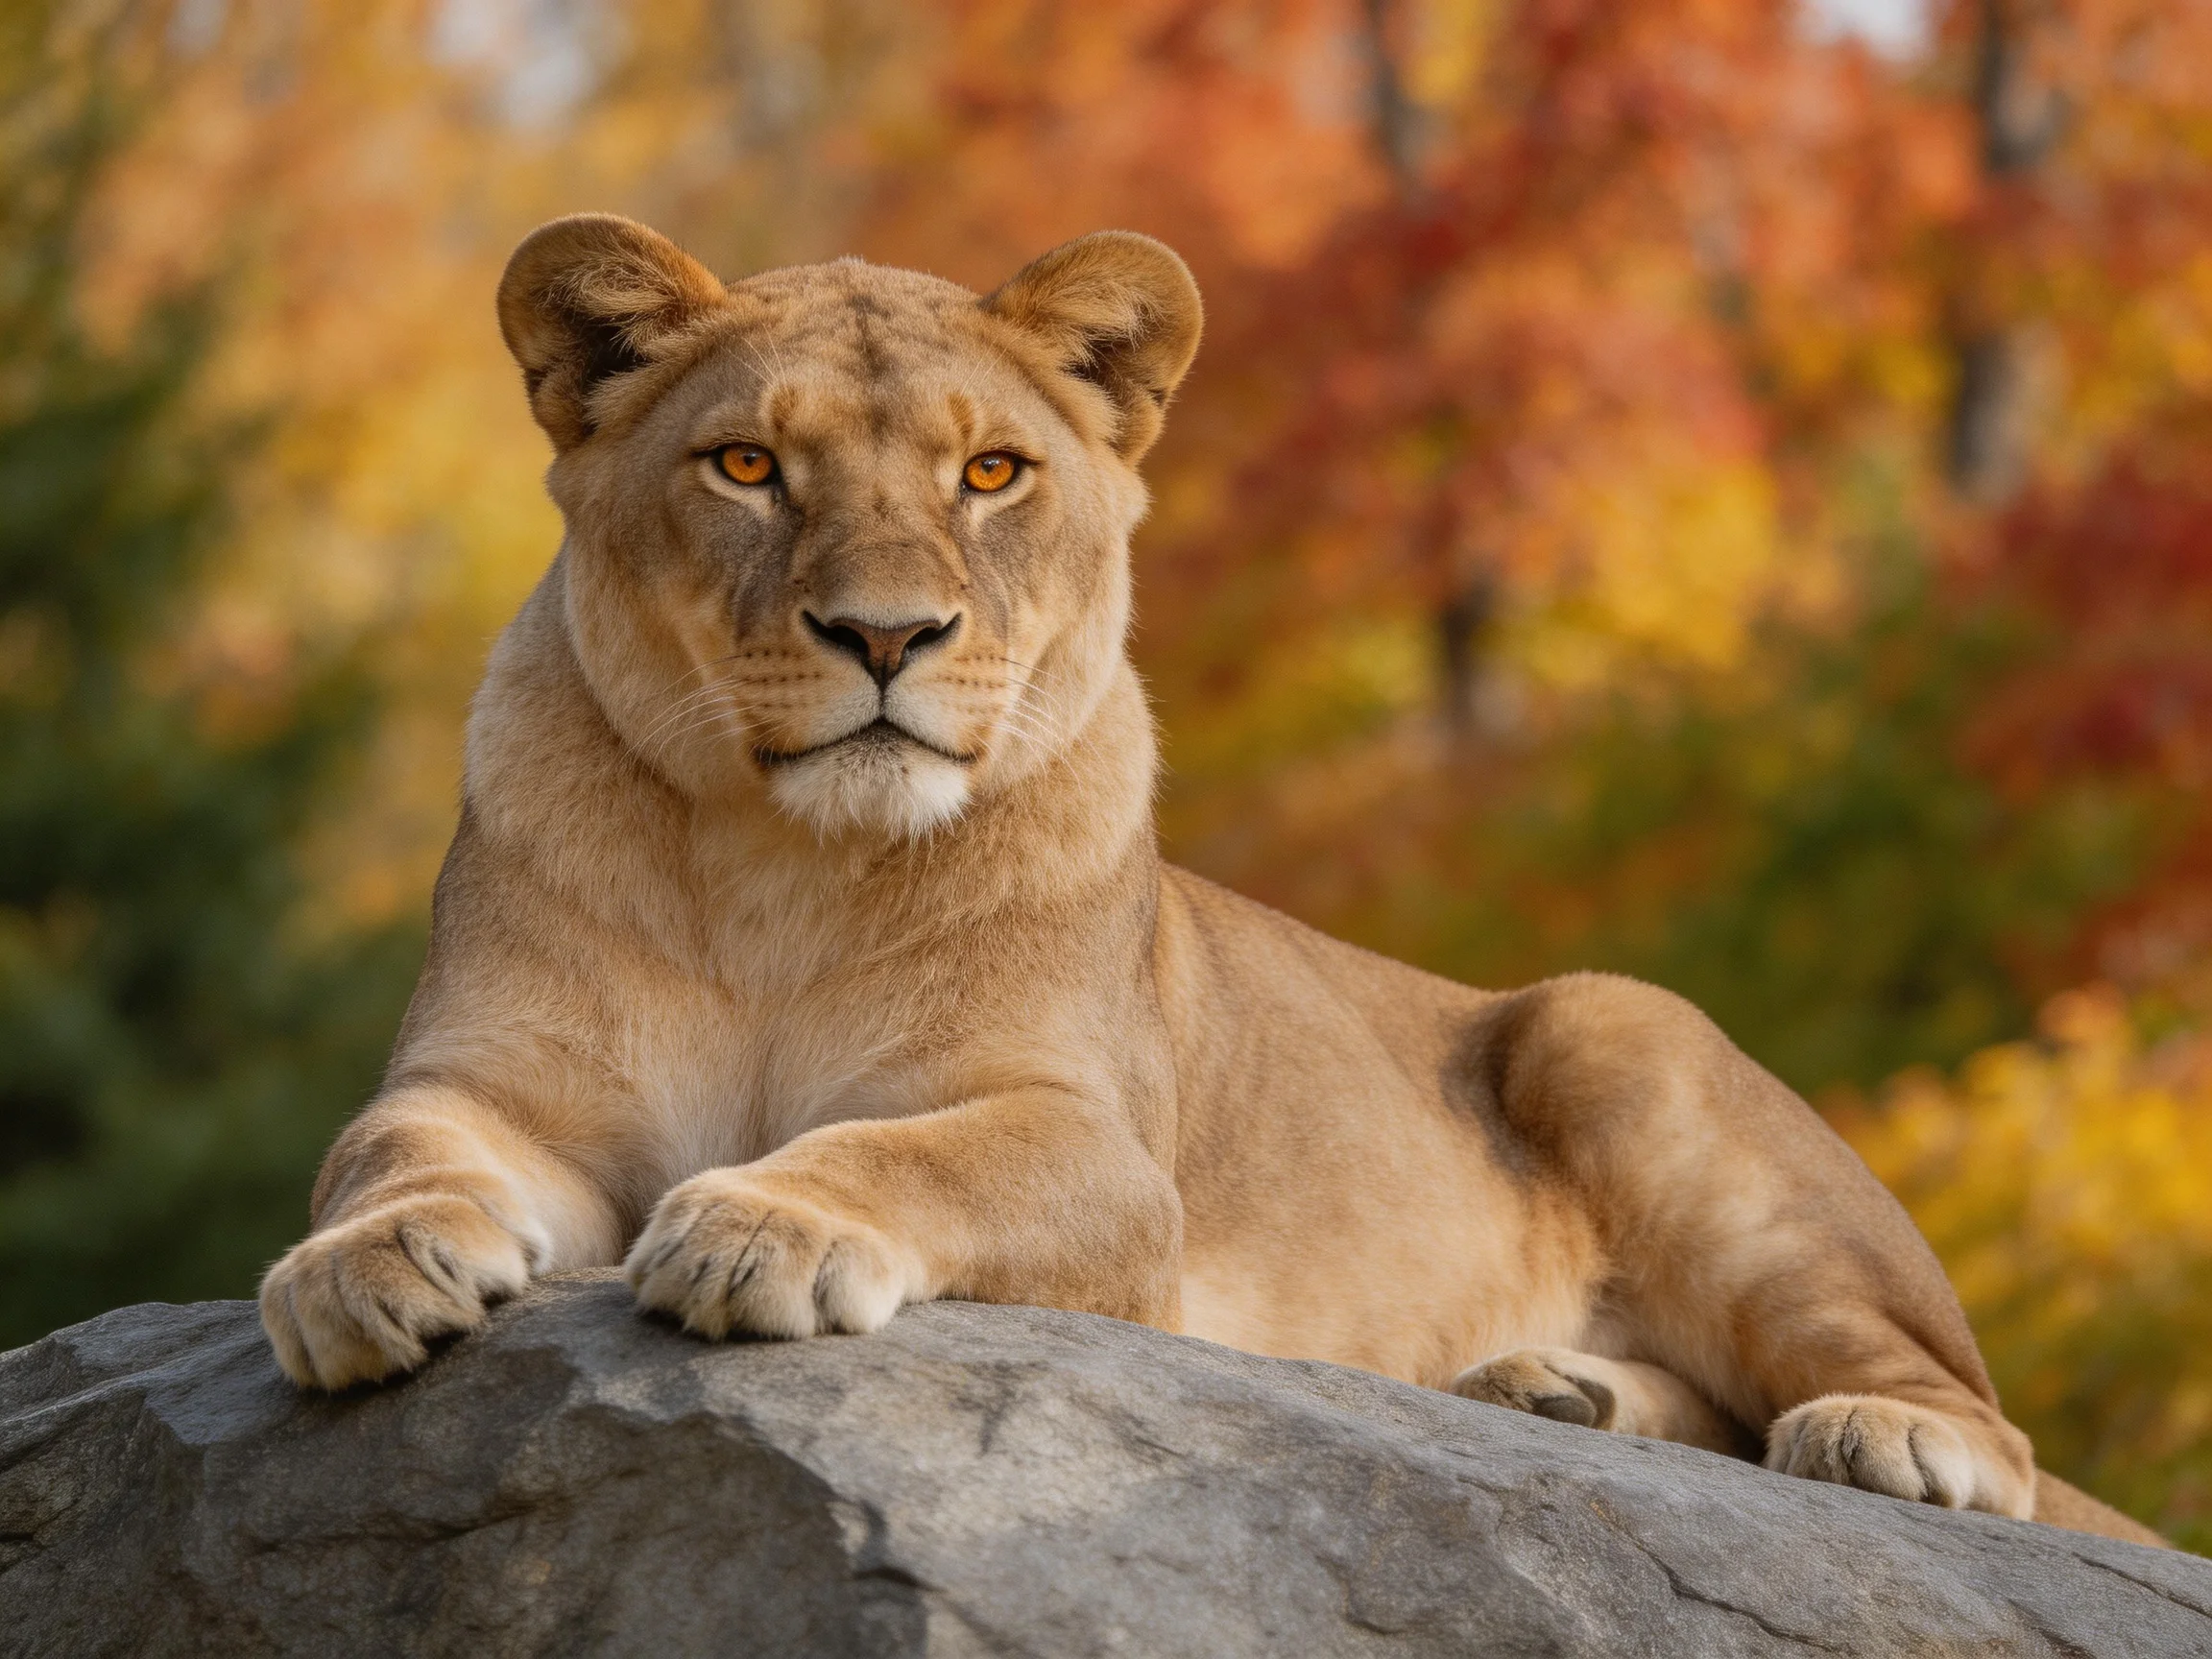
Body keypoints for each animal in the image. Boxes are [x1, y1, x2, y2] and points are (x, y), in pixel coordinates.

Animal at [259, 213, 2162, 1548]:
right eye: (745, 466)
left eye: (990, 472)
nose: (885, 634)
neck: (780, 866)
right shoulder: (490, 1080)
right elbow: (384, 1146)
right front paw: (358, 1269)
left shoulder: (1100, 1151)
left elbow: (909, 1146)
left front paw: (762, 1221)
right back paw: (1541, 1387)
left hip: (1616, 1037)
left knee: (1979, 1419)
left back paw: (1877, 1436)